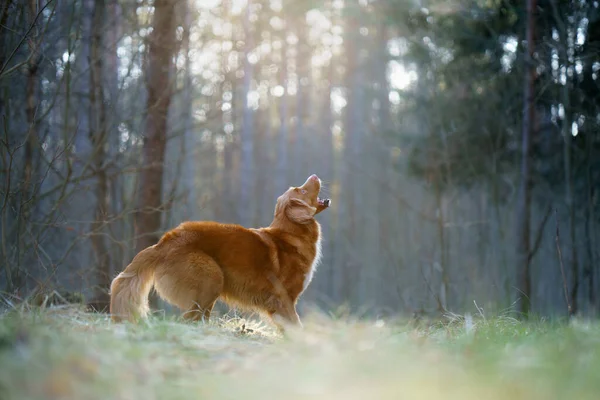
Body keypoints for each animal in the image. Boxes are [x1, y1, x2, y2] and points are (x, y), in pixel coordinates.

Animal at [110, 173, 330, 330]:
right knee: (187, 319)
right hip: (211, 277)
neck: (291, 232)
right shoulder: (283, 299)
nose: (314, 175)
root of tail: (163, 243)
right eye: (301, 191)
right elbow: (296, 326)